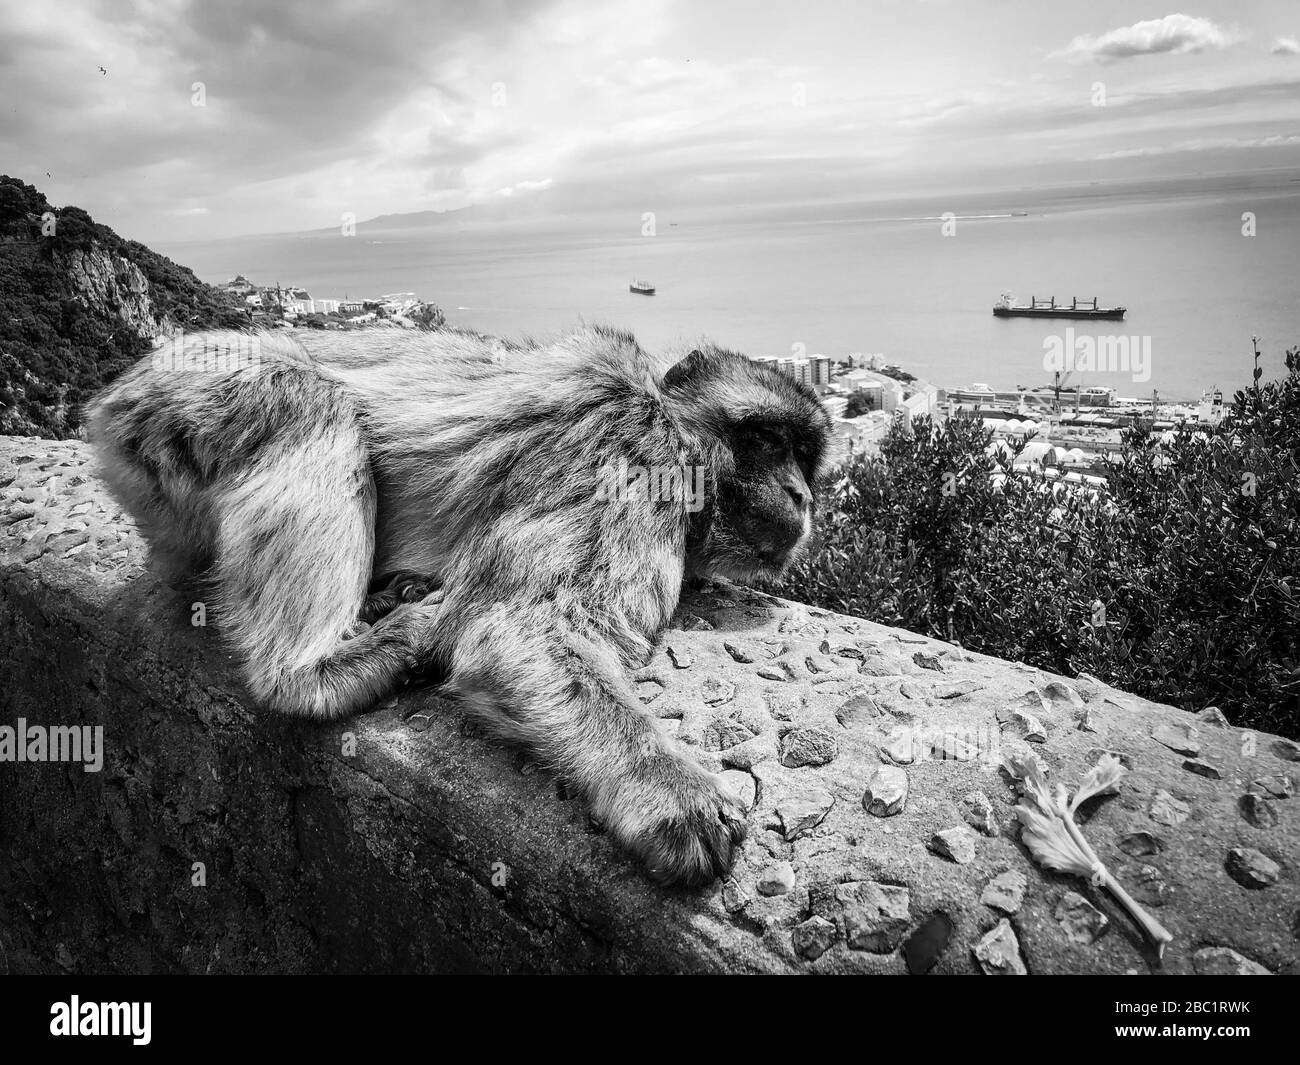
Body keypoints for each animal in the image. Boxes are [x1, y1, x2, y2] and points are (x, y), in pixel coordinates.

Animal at [89, 326, 832, 889]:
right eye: (768, 441)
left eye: (804, 456)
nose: (801, 496)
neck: (666, 418)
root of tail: (109, 399)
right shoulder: (630, 458)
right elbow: (518, 629)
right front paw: (670, 793)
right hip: (195, 392)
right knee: (308, 403)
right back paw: (318, 668)